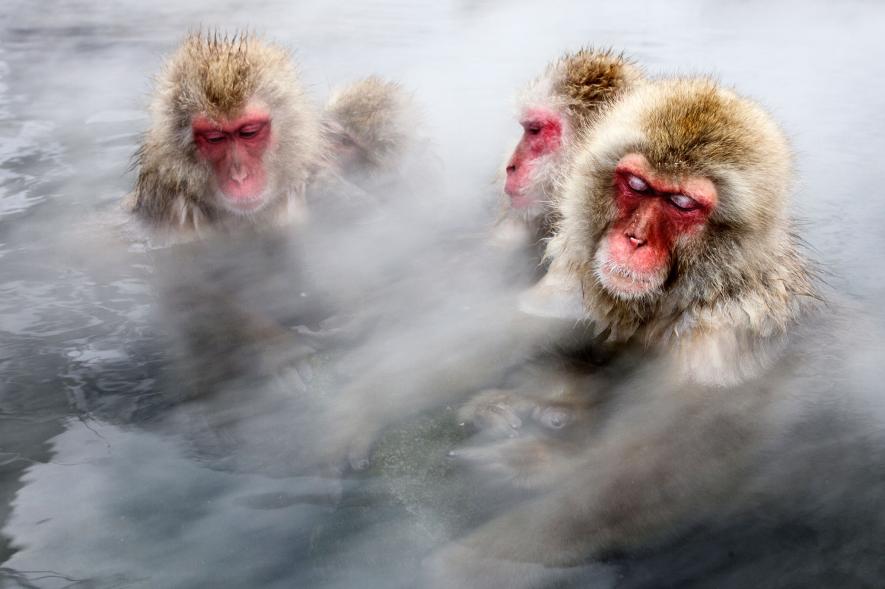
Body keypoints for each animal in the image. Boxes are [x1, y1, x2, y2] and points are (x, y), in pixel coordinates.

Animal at [432, 77, 820, 584]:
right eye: (636, 185)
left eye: (681, 203)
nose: (633, 238)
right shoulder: (579, 274)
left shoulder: (725, 335)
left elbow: (669, 467)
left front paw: (475, 562)